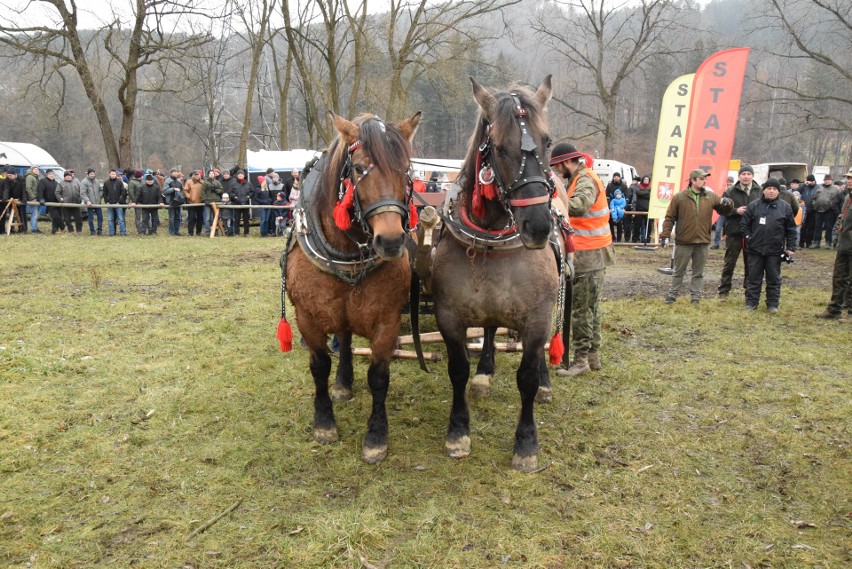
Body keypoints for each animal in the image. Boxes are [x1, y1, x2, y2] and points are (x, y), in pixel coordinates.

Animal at [282, 110, 422, 462]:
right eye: (359, 169)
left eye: (406, 170)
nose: (391, 241)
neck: (347, 251)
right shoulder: (307, 317)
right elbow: (319, 366)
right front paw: (324, 423)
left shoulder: (387, 321)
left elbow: (379, 377)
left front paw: (376, 437)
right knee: (343, 339)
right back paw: (342, 384)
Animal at [426, 79, 560, 470]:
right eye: (499, 148)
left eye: (547, 142)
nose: (539, 226)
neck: (492, 241)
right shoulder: (449, 315)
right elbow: (457, 370)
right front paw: (458, 432)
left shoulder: (538, 316)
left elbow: (527, 375)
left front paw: (526, 442)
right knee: (488, 328)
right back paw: (484, 372)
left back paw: (546, 383)